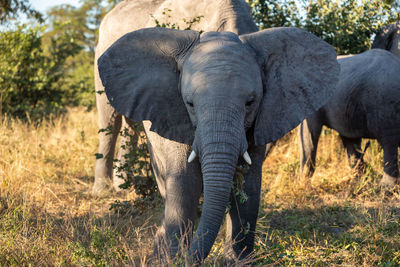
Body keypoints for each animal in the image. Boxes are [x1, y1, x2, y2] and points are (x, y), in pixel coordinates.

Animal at [98, 22, 340, 262]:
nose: (190, 260)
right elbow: (184, 181)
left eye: (250, 102)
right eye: (190, 104)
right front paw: (172, 260)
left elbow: (249, 186)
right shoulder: (176, 116)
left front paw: (238, 261)